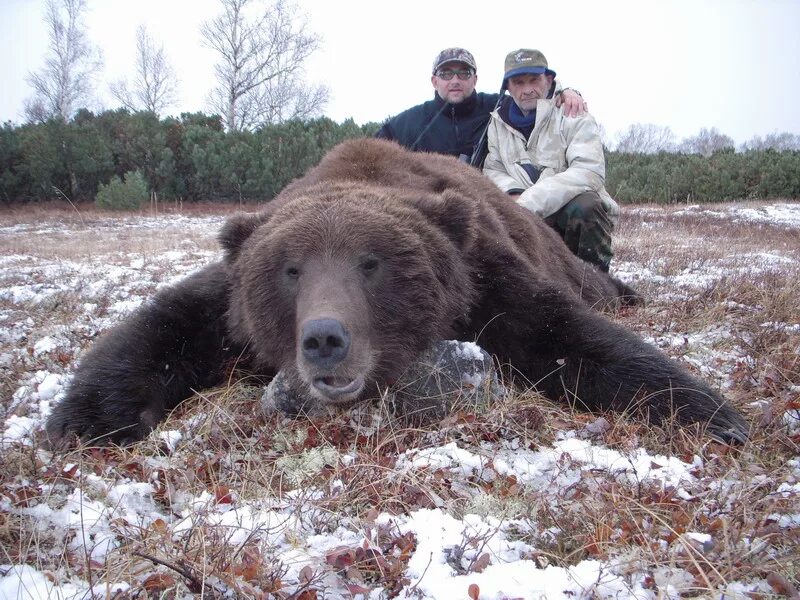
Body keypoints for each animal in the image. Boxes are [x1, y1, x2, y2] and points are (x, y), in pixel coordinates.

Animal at [47, 137, 752, 446]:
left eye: (372, 264)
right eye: (290, 270)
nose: (325, 339)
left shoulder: (480, 278)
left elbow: (559, 333)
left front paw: (709, 413)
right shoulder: (230, 296)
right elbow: (166, 326)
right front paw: (84, 418)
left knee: (592, 282)